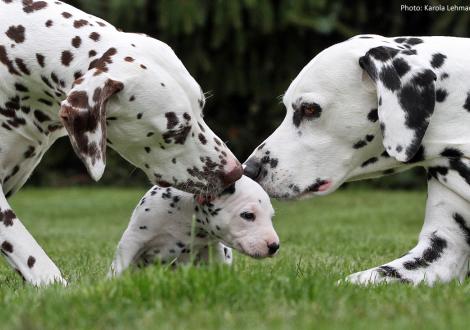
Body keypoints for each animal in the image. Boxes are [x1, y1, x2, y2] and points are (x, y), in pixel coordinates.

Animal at [109, 175, 280, 276]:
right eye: (248, 215)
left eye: (271, 217)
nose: (274, 246)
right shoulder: (133, 239)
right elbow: (119, 267)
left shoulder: (212, 249)